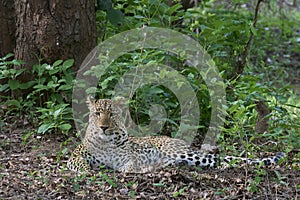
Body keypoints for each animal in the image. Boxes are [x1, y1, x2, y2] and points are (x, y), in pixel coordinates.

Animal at [67, 97, 284, 173]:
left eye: (111, 114)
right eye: (97, 113)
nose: (104, 127)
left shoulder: (128, 157)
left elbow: (128, 166)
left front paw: (134, 169)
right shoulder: (76, 154)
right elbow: (78, 161)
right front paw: (86, 169)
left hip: (178, 152)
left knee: (217, 159)